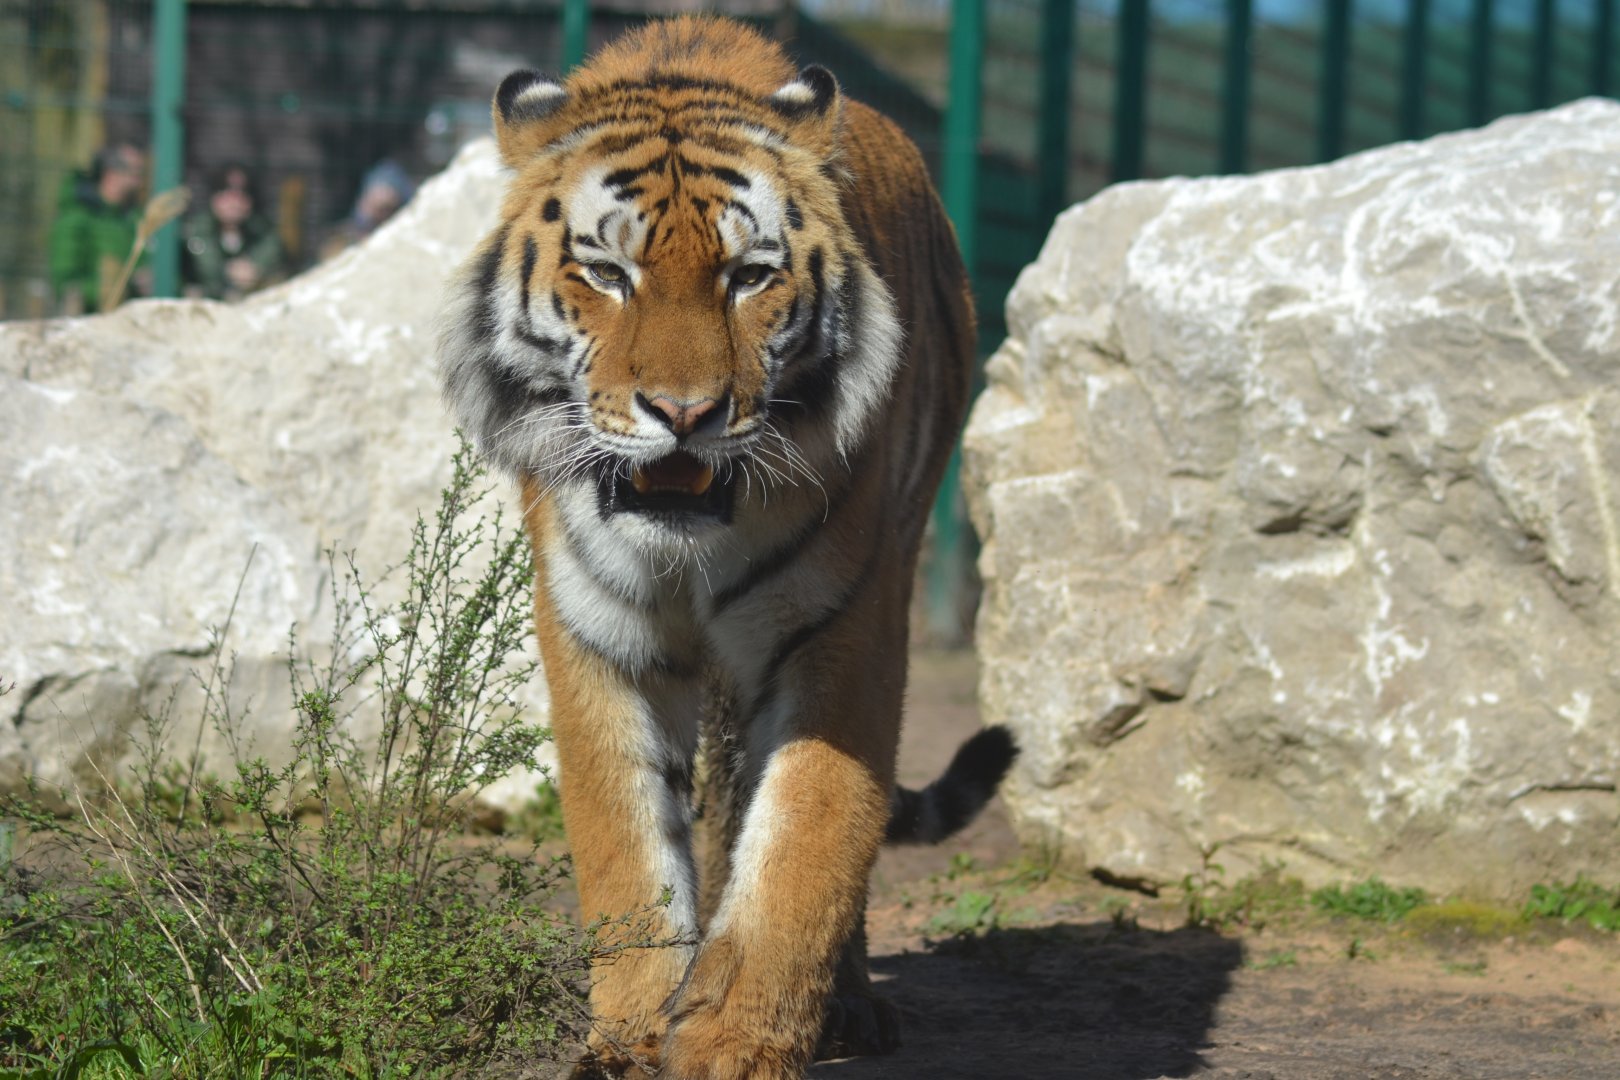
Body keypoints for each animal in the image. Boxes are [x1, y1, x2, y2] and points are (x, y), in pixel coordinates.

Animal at [437, 16, 1014, 1079]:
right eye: (607, 273)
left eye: (749, 277)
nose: (684, 414)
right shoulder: (601, 634)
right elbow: (628, 846)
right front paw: (630, 1035)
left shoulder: (840, 630)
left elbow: (805, 840)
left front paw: (734, 1041)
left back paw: (849, 1005)